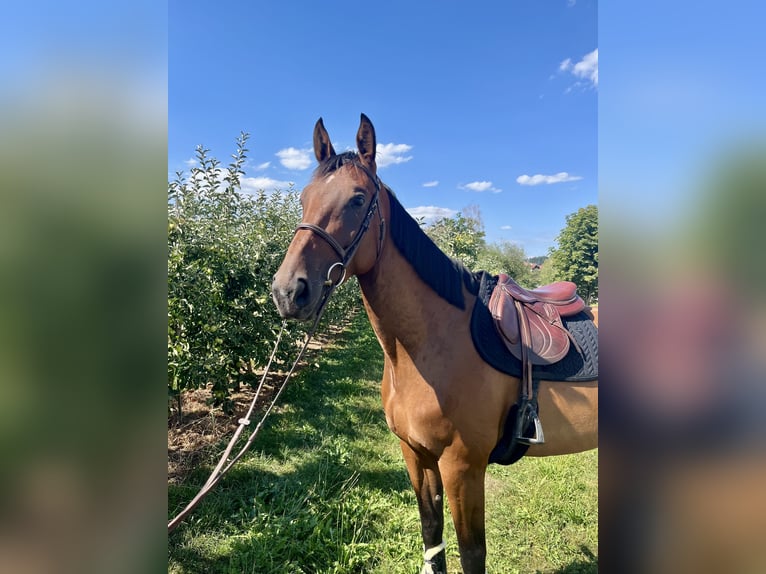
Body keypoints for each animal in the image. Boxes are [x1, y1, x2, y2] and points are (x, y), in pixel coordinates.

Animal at [272, 114, 598, 574]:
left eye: (357, 199)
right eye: (303, 198)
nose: (288, 291)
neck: (429, 346)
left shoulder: (463, 468)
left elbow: (472, 553)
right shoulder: (417, 456)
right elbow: (432, 537)